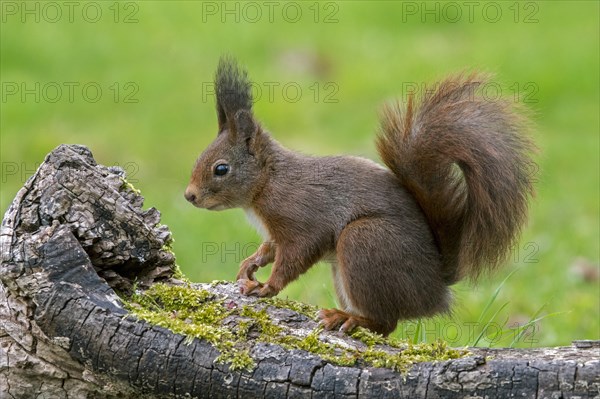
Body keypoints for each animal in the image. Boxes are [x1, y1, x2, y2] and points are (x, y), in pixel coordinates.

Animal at [184, 57, 536, 338]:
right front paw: (249, 265)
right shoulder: (274, 232)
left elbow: (297, 253)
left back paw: (348, 318)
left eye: (221, 169)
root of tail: (437, 285)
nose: (189, 196)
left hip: (363, 242)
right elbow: (269, 249)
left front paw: (268, 285)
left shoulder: (302, 217)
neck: (268, 181)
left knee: (386, 321)